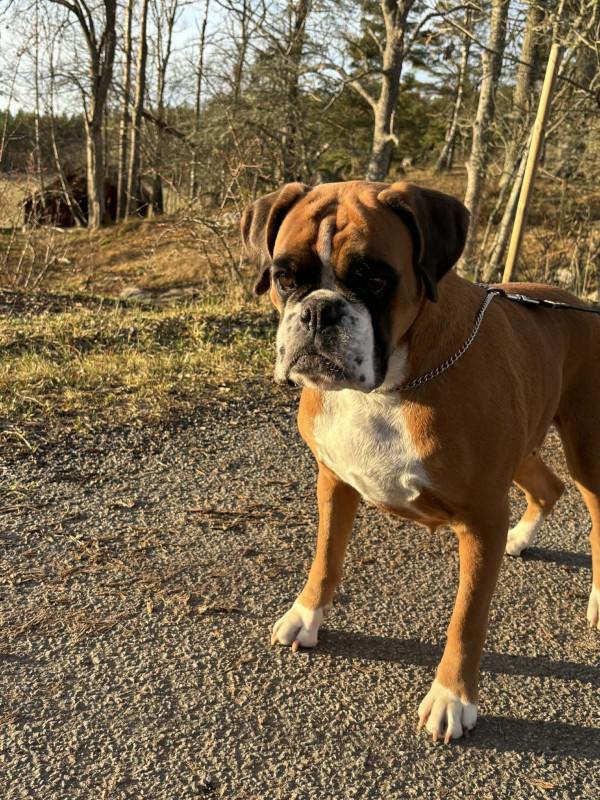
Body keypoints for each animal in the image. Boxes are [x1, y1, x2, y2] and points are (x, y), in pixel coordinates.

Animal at [241, 180, 600, 743]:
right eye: (286, 278)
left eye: (373, 278)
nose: (320, 311)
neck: (386, 387)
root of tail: (578, 302)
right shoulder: (333, 482)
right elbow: (325, 557)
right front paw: (306, 615)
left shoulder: (481, 518)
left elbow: (467, 618)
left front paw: (453, 697)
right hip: (524, 448)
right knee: (548, 487)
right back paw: (521, 537)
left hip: (587, 448)